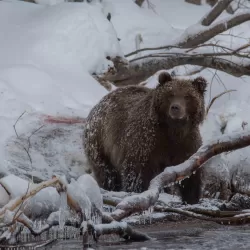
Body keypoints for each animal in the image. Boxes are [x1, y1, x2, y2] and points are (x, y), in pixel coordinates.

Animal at [83, 71, 208, 204]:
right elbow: (138, 170)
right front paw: (138, 191)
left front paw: (192, 198)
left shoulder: (187, 143)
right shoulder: (147, 141)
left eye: (187, 96)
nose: (175, 107)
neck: (173, 129)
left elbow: (191, 173)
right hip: (101, 142)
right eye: (170, 94)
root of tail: (97, 105)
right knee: (107, 173)